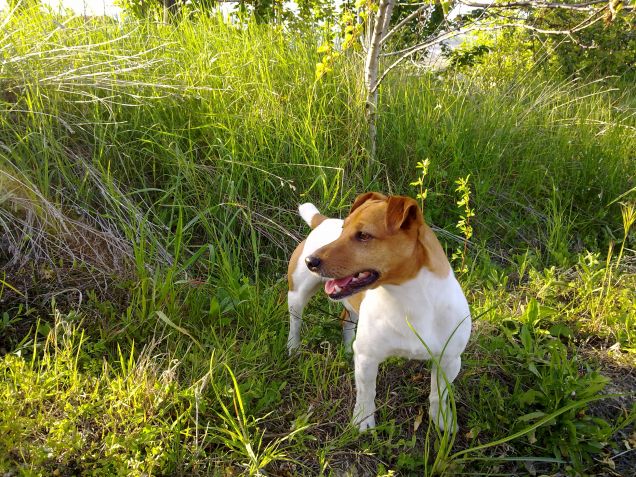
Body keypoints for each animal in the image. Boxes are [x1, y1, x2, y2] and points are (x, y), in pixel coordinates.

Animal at [286, 192, 470, 430]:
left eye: (364, 235)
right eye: (343, 229)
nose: (311, 261)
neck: (409, 300)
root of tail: (323, 220)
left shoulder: (449, 360)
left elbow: (439, 395)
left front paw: (442, 422)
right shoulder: (368, 357)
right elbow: (367, 394)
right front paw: (363, 423)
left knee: (346, 321)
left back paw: (348, 349)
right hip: (297, 295)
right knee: (295, 322)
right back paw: (293, 348)